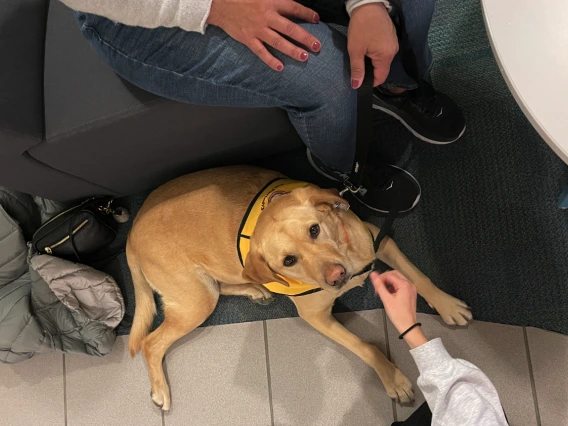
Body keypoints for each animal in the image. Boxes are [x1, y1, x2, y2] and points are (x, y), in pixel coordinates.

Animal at [127, 166, 470, 410]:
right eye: (288, 260)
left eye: (314, 229)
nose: (337, 276)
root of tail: (130, 234)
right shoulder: (316, 317)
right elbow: (365, 347)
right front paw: (393, 378)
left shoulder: (379, 239)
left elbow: (419, 276)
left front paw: (447, 305)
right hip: (196, 301)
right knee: (150, 343)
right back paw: (160, 391)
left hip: (208, 288)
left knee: (225, 284)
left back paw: (256, 290)